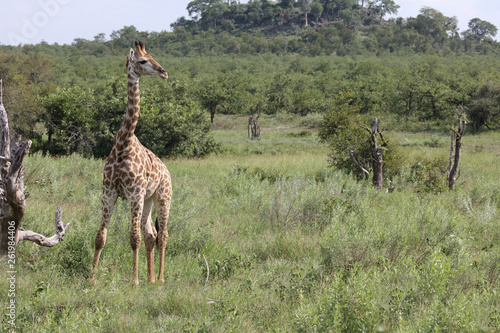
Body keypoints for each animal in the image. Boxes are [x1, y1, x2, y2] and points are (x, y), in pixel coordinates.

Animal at [92, 41, 172, 284]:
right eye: (143, 60)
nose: (164, 72)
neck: (122, 145)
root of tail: (167, 171)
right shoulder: (108, 192)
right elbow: (100, 237)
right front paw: (91, 278)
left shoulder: (134, 193)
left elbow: (133, 237)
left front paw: (134, 281)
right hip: (147, 201)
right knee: (151, 234)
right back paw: (151, 279)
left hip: (163, 198)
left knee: (163, 235)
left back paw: (160, 279)